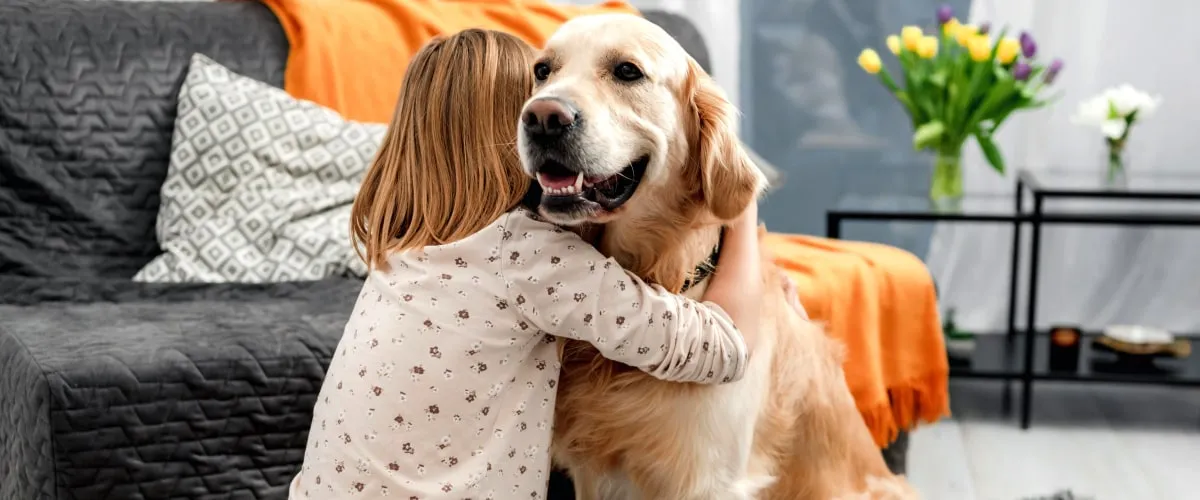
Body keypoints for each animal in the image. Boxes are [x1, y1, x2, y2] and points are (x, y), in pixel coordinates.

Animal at [516, 12, 916, 498]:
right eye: (542, 71)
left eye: (627, 71)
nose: (542, 118)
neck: (664, 275)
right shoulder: (593, 473)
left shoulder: (709, 477)